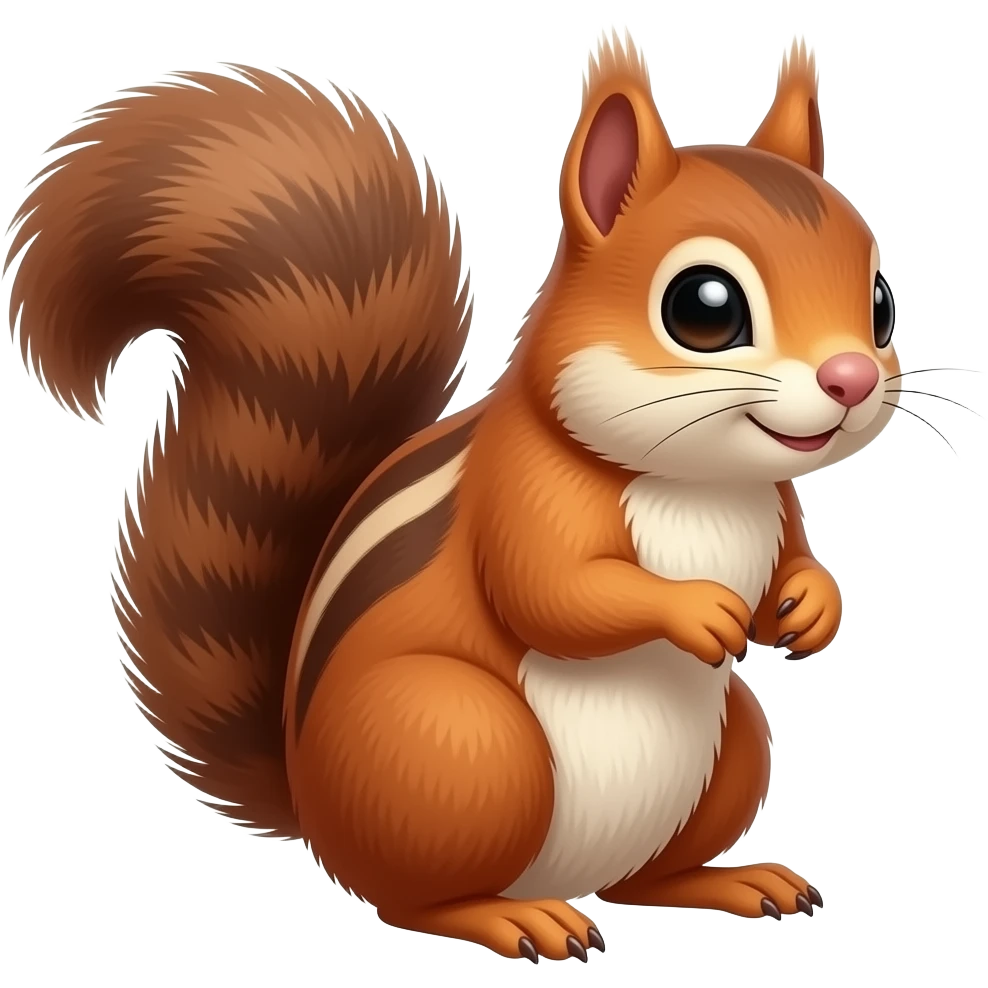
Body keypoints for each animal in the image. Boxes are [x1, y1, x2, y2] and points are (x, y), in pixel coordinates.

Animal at [4, 26, 896, 961]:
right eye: (705, 307)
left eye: (880, 302)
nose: (851, 378)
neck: (699, 484)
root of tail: (311, 803)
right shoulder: (526, 495)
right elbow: (555, 593)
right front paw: (697, 609)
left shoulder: (777, 503)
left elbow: (794, 560)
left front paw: (812, 606)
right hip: (461, 744)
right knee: (413, 897)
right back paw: (512, 917)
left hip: (733, 748)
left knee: (643, 880)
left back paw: (728, 880)